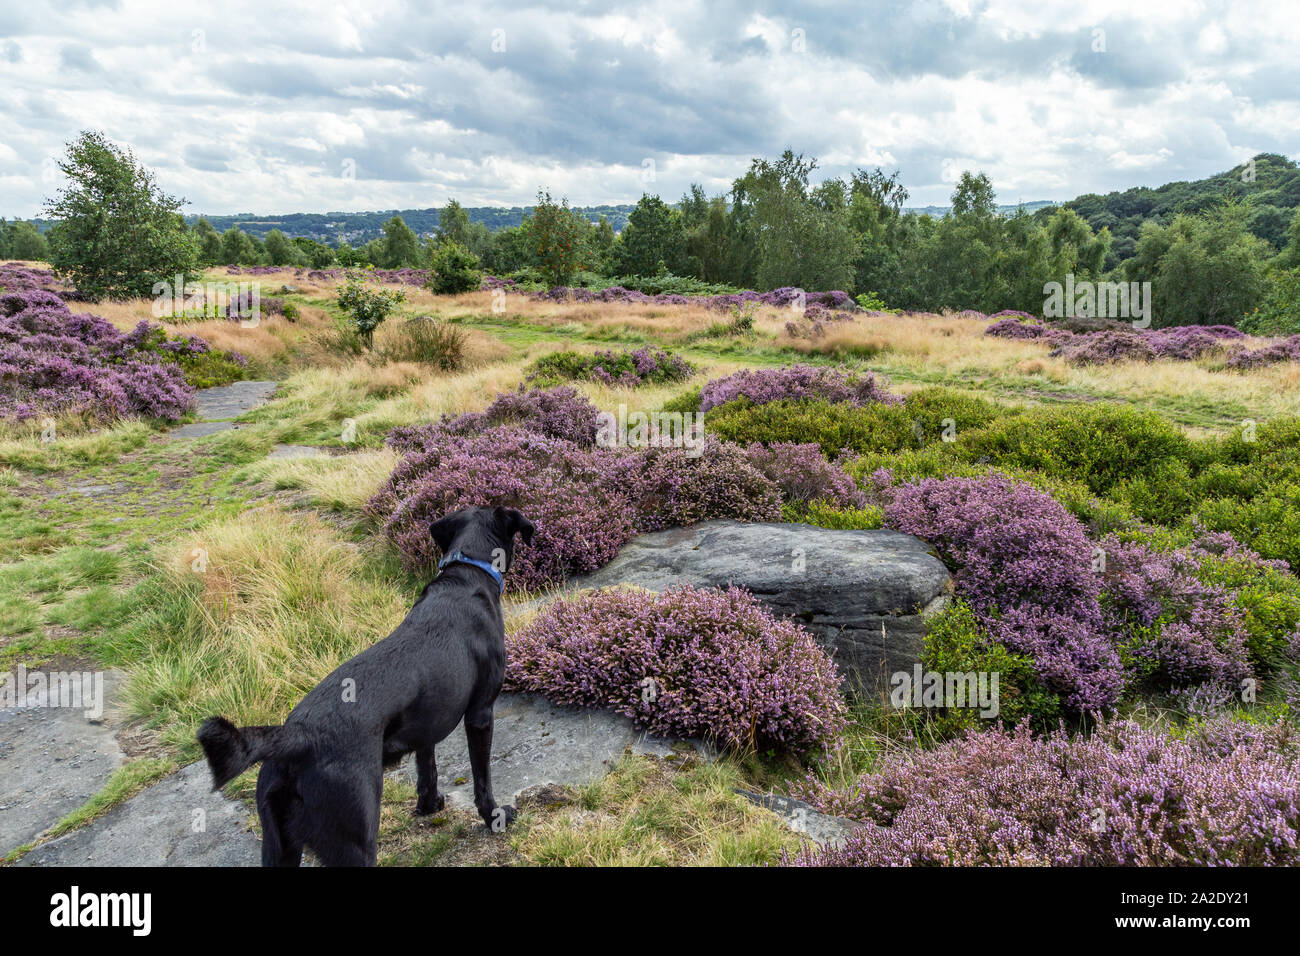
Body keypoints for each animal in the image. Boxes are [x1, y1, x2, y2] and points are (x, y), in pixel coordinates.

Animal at [193, 509, 538, 868]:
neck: (466, 574)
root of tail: (296, 738)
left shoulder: (426, 723)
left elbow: (426, 767)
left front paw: (428, 806)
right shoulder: (480, 714)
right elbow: (481, 776)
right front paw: (495, 816)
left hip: (278, 846)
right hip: (354, 839)